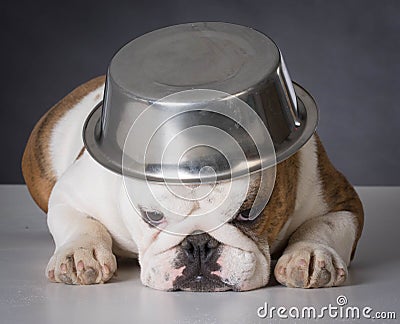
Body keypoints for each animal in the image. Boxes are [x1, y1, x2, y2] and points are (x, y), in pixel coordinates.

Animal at [23, 76, 364, 292]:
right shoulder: (70, 196)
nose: (199, 244)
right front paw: (79, 254)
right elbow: (81, 223)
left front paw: (311, 255)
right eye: (152, 217)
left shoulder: (341, 201)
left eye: (248, 214)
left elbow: (324, 226)